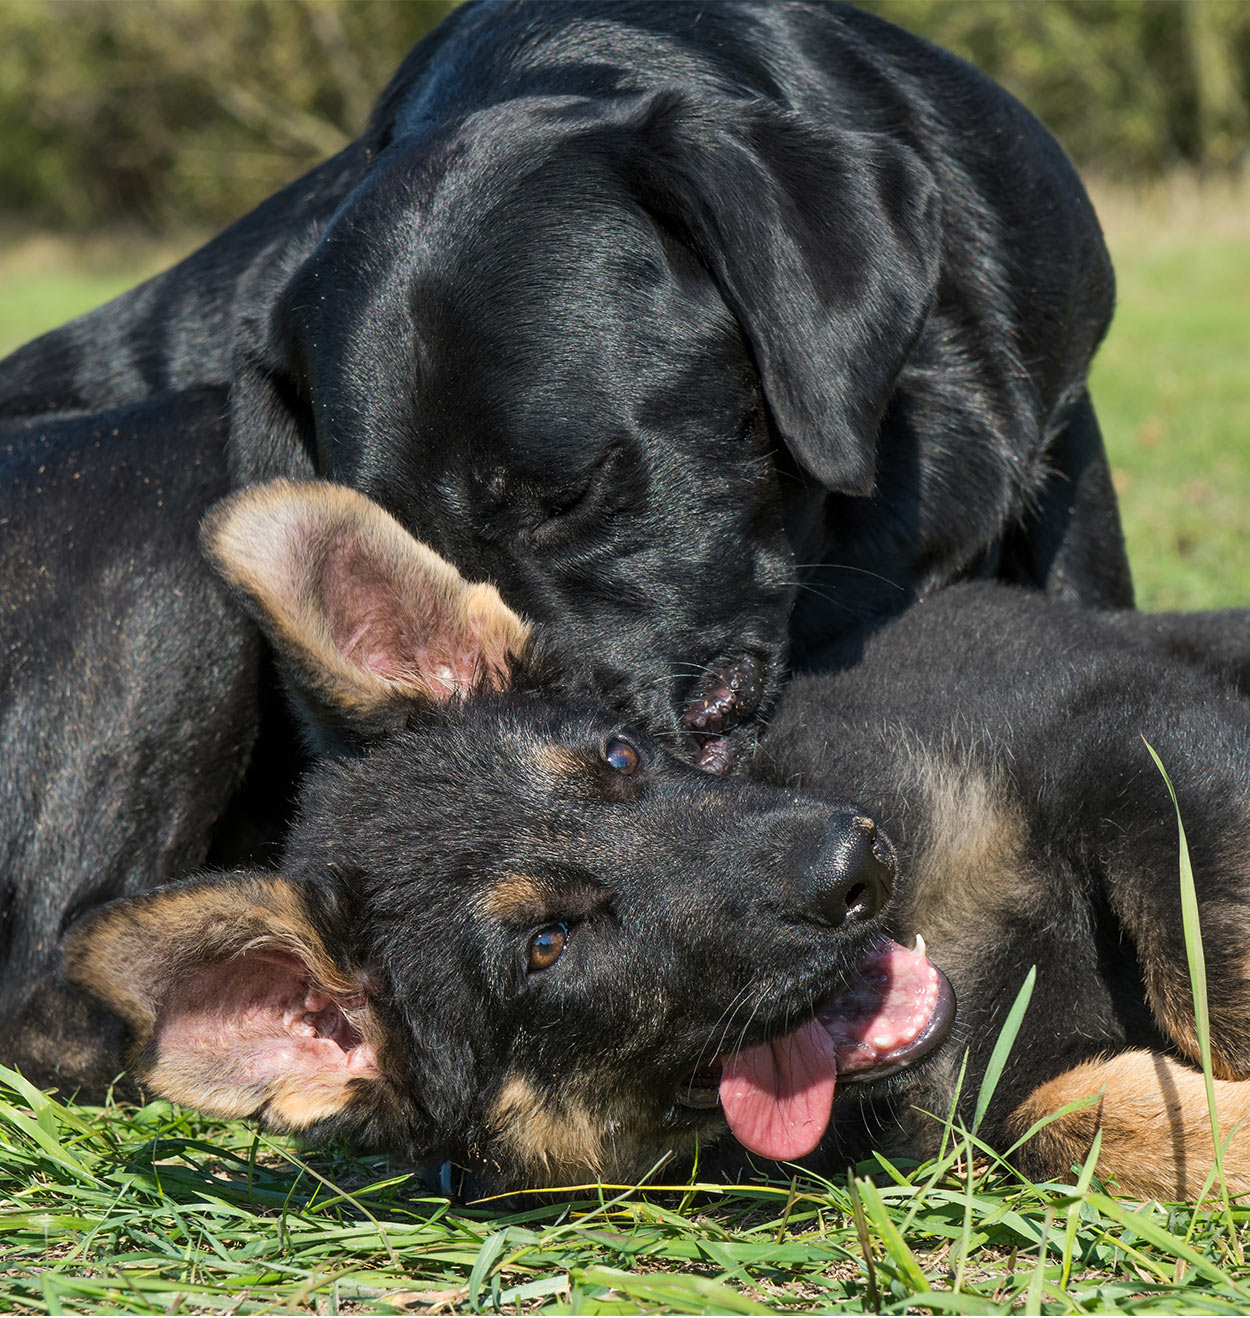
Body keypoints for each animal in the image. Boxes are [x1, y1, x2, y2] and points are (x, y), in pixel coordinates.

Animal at [63, 487, 1250, 1207]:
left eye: (624, 756)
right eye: (548, 946)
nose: (853, 871)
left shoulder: (1121, 731)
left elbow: (1210, 964)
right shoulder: (973, 1108)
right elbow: (1069, 1111)